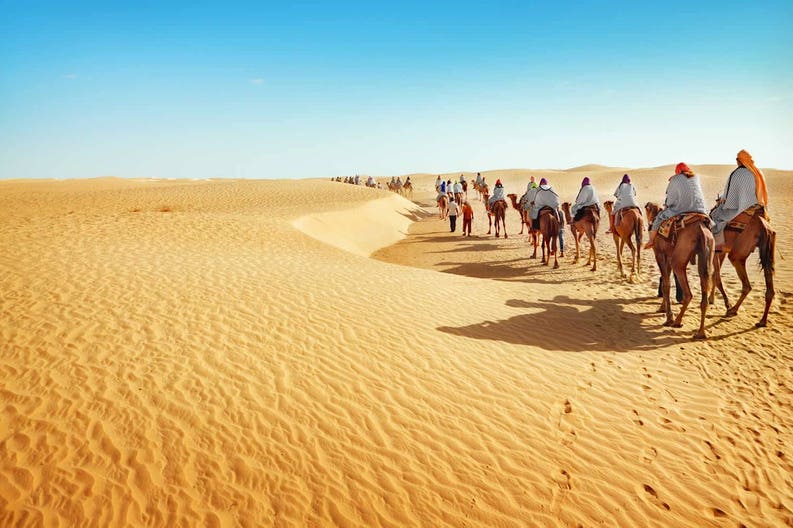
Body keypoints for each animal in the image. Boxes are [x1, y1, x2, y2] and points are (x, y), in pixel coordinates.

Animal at [645, 202, 715, 339]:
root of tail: (700, 228)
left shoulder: (660, 254)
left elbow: (666, 285)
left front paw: (669, 318)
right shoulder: (668, 254)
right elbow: (666, 281)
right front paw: (662, 308)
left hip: (679, 259)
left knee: (688, 294)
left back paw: (677, 321)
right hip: (708, 251)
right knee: (704, 285)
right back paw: (700, 333)